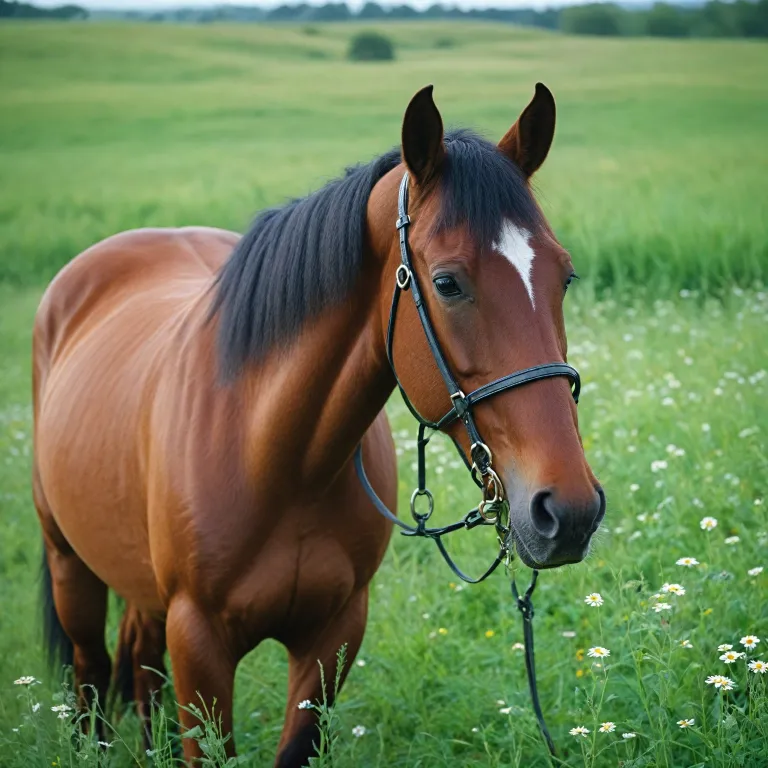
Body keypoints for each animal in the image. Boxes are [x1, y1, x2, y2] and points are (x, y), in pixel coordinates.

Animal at [32, 83, 604, 765]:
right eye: (447, 283)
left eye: (564, 275)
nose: (569, 510)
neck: (278, 458)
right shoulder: (199, 643)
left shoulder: (333, 636)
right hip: (69, 564)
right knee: (90, 676)